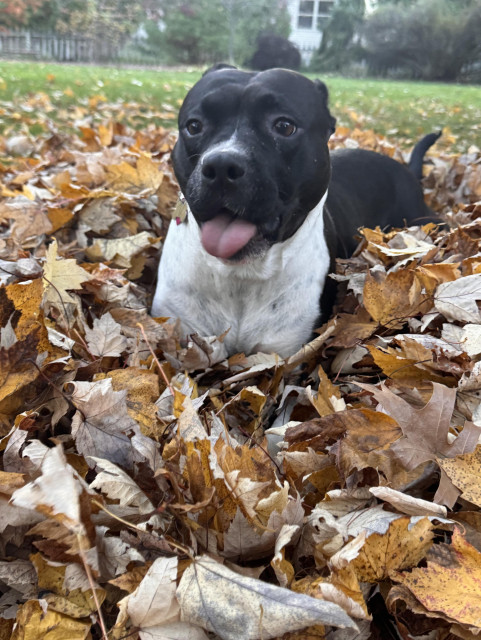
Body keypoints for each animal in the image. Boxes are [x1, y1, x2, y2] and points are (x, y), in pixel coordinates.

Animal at [151, 67, 438, 358]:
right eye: (194, 126)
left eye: (284, 126)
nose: (221, 165)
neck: (242, 275)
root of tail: (406, 169)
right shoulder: (186, 333)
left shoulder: (286, 353)